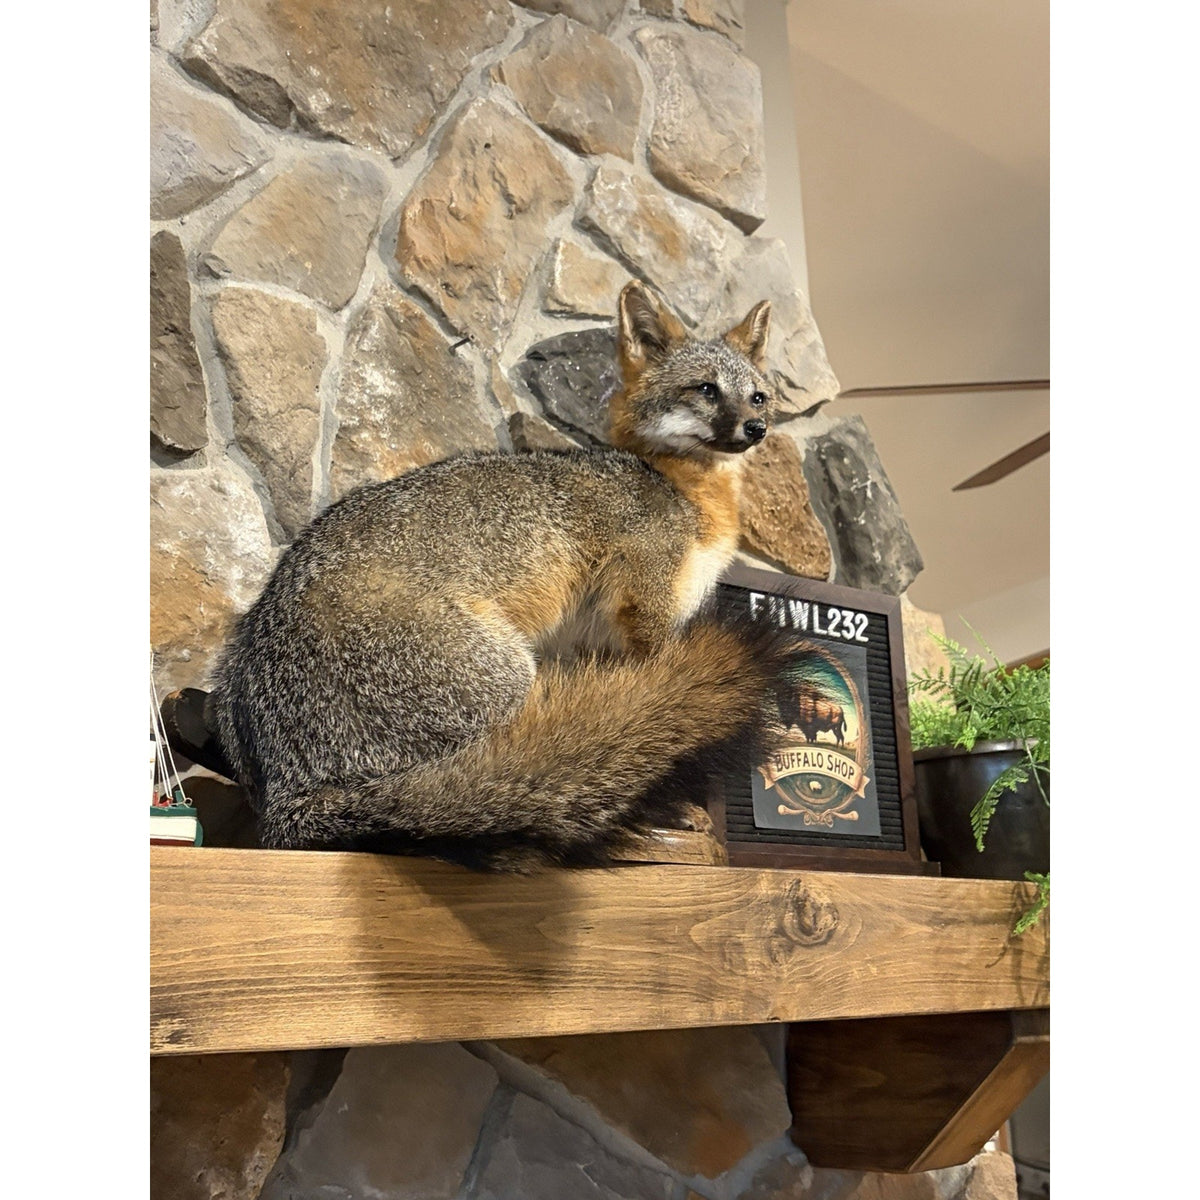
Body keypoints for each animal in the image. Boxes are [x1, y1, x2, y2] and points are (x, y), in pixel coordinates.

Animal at [209, 280, 803, 870]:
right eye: (706, 390)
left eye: (757, 397)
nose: (757, 429)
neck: (683, 488)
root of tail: (289, 793)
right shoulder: (647, 612)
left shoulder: (600, 644)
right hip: (513, 676)